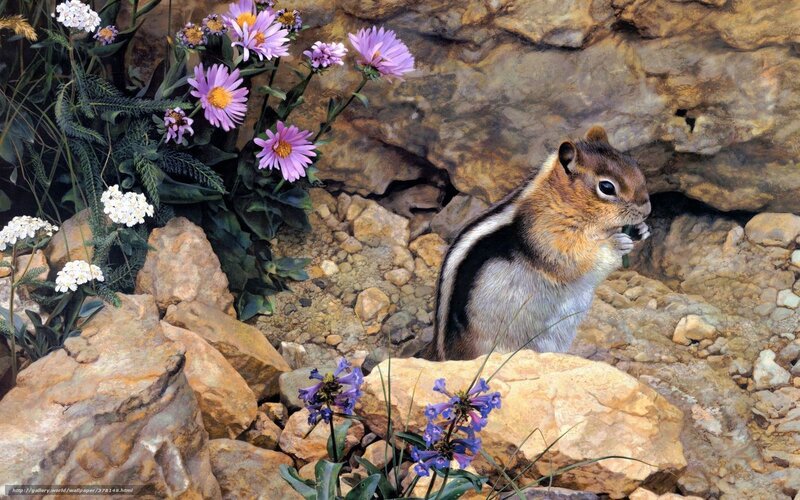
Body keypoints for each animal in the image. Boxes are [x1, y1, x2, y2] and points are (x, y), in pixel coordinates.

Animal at [422, 126, 651, 361]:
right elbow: (576, 261)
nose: (647, 210)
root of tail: (442, 353)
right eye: (606, 187)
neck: (559, 201)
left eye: (634, 165)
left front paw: (640, 230)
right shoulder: (547, 237)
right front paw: (617, 243)